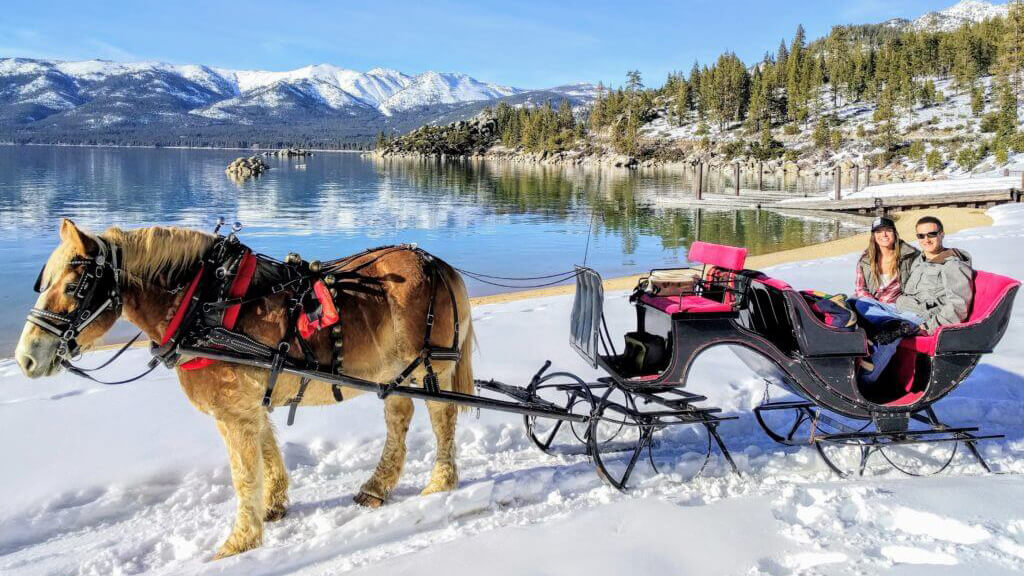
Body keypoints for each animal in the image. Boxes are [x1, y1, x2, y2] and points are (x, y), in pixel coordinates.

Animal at [14, 218, 475, 557]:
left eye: (73, 287)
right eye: (44, 284)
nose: (25, 358)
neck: (203, 303)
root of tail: (437, 264)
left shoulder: (232, 410)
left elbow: (243, 474)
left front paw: (239, 543)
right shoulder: (249, 404)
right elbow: (267, 453)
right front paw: (273, 506)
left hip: (432, 368)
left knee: (442, 419)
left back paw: (440, 483)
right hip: (395, 373)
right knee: (399, 418)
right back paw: (376, 487)